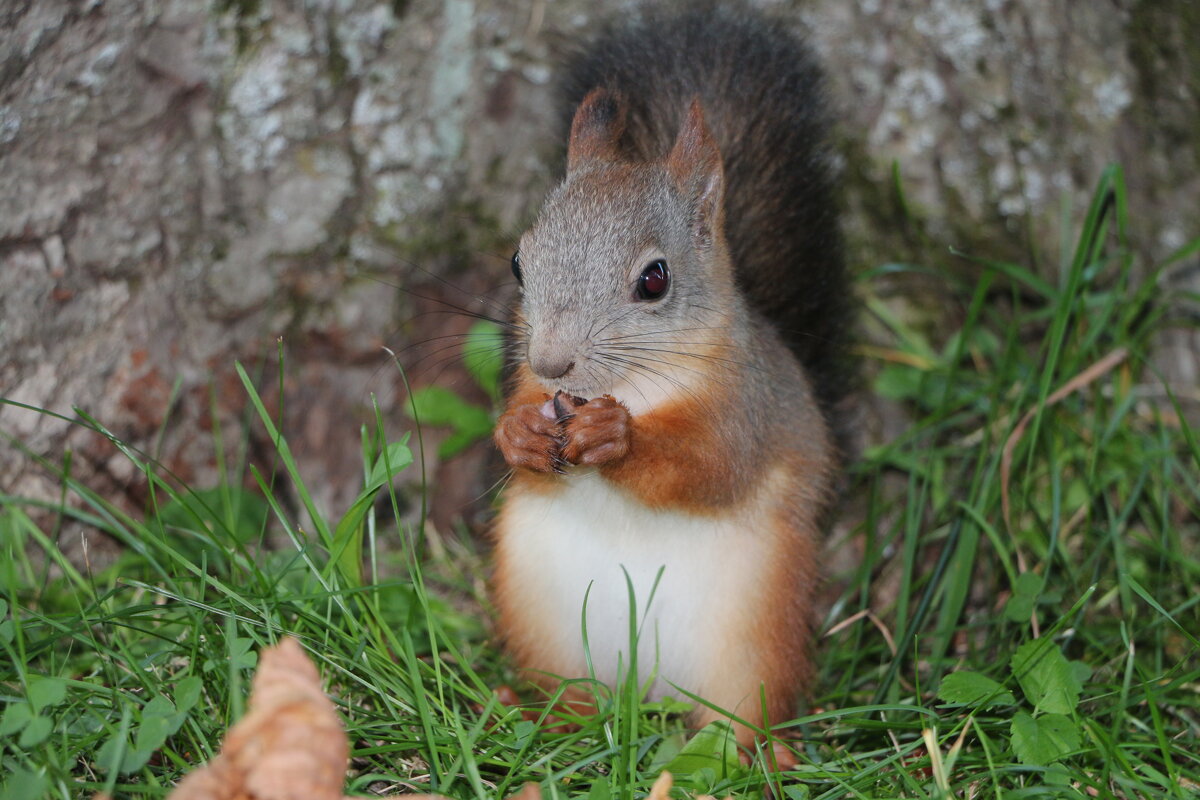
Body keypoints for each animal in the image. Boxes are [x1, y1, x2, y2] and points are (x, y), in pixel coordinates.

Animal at [489, 1, 854, 753]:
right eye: (518, 261)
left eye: (654, 280)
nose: (550, 362)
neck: (632, 387)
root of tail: (646, 689)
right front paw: (520, 436)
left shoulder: (744, 407)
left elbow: (711, 467)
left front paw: (617, 440)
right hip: (545, 620)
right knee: (570, 699)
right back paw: (538, 717)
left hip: (752, 634)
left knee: (739, 716)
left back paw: (754, 755)